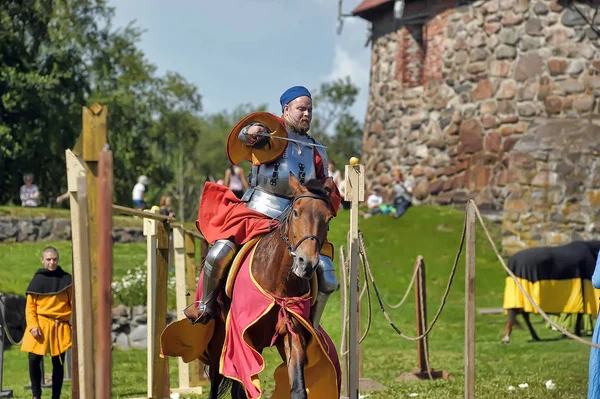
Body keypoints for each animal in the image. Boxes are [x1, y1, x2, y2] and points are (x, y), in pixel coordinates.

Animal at [202, 176, 332, 399]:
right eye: (296, 212)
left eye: (328, 219)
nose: (306, 263)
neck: (278, 281)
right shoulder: (241, 339)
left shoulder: (292, 333)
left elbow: (298, 388)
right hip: (220, 337)